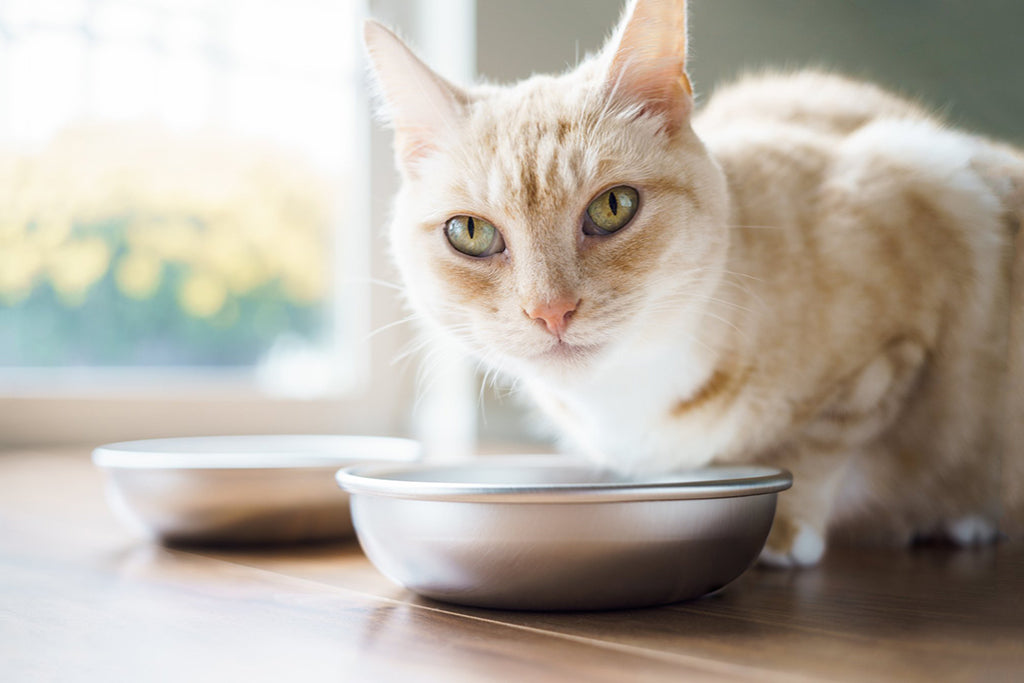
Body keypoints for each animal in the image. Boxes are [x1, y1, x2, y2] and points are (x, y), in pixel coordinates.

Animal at [366, 0, 1024, 565]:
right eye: (471, 232)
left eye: (613, 207)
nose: (551, 310)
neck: (629, 390)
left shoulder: (918, 210)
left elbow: (822, 442)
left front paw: (786, 532)